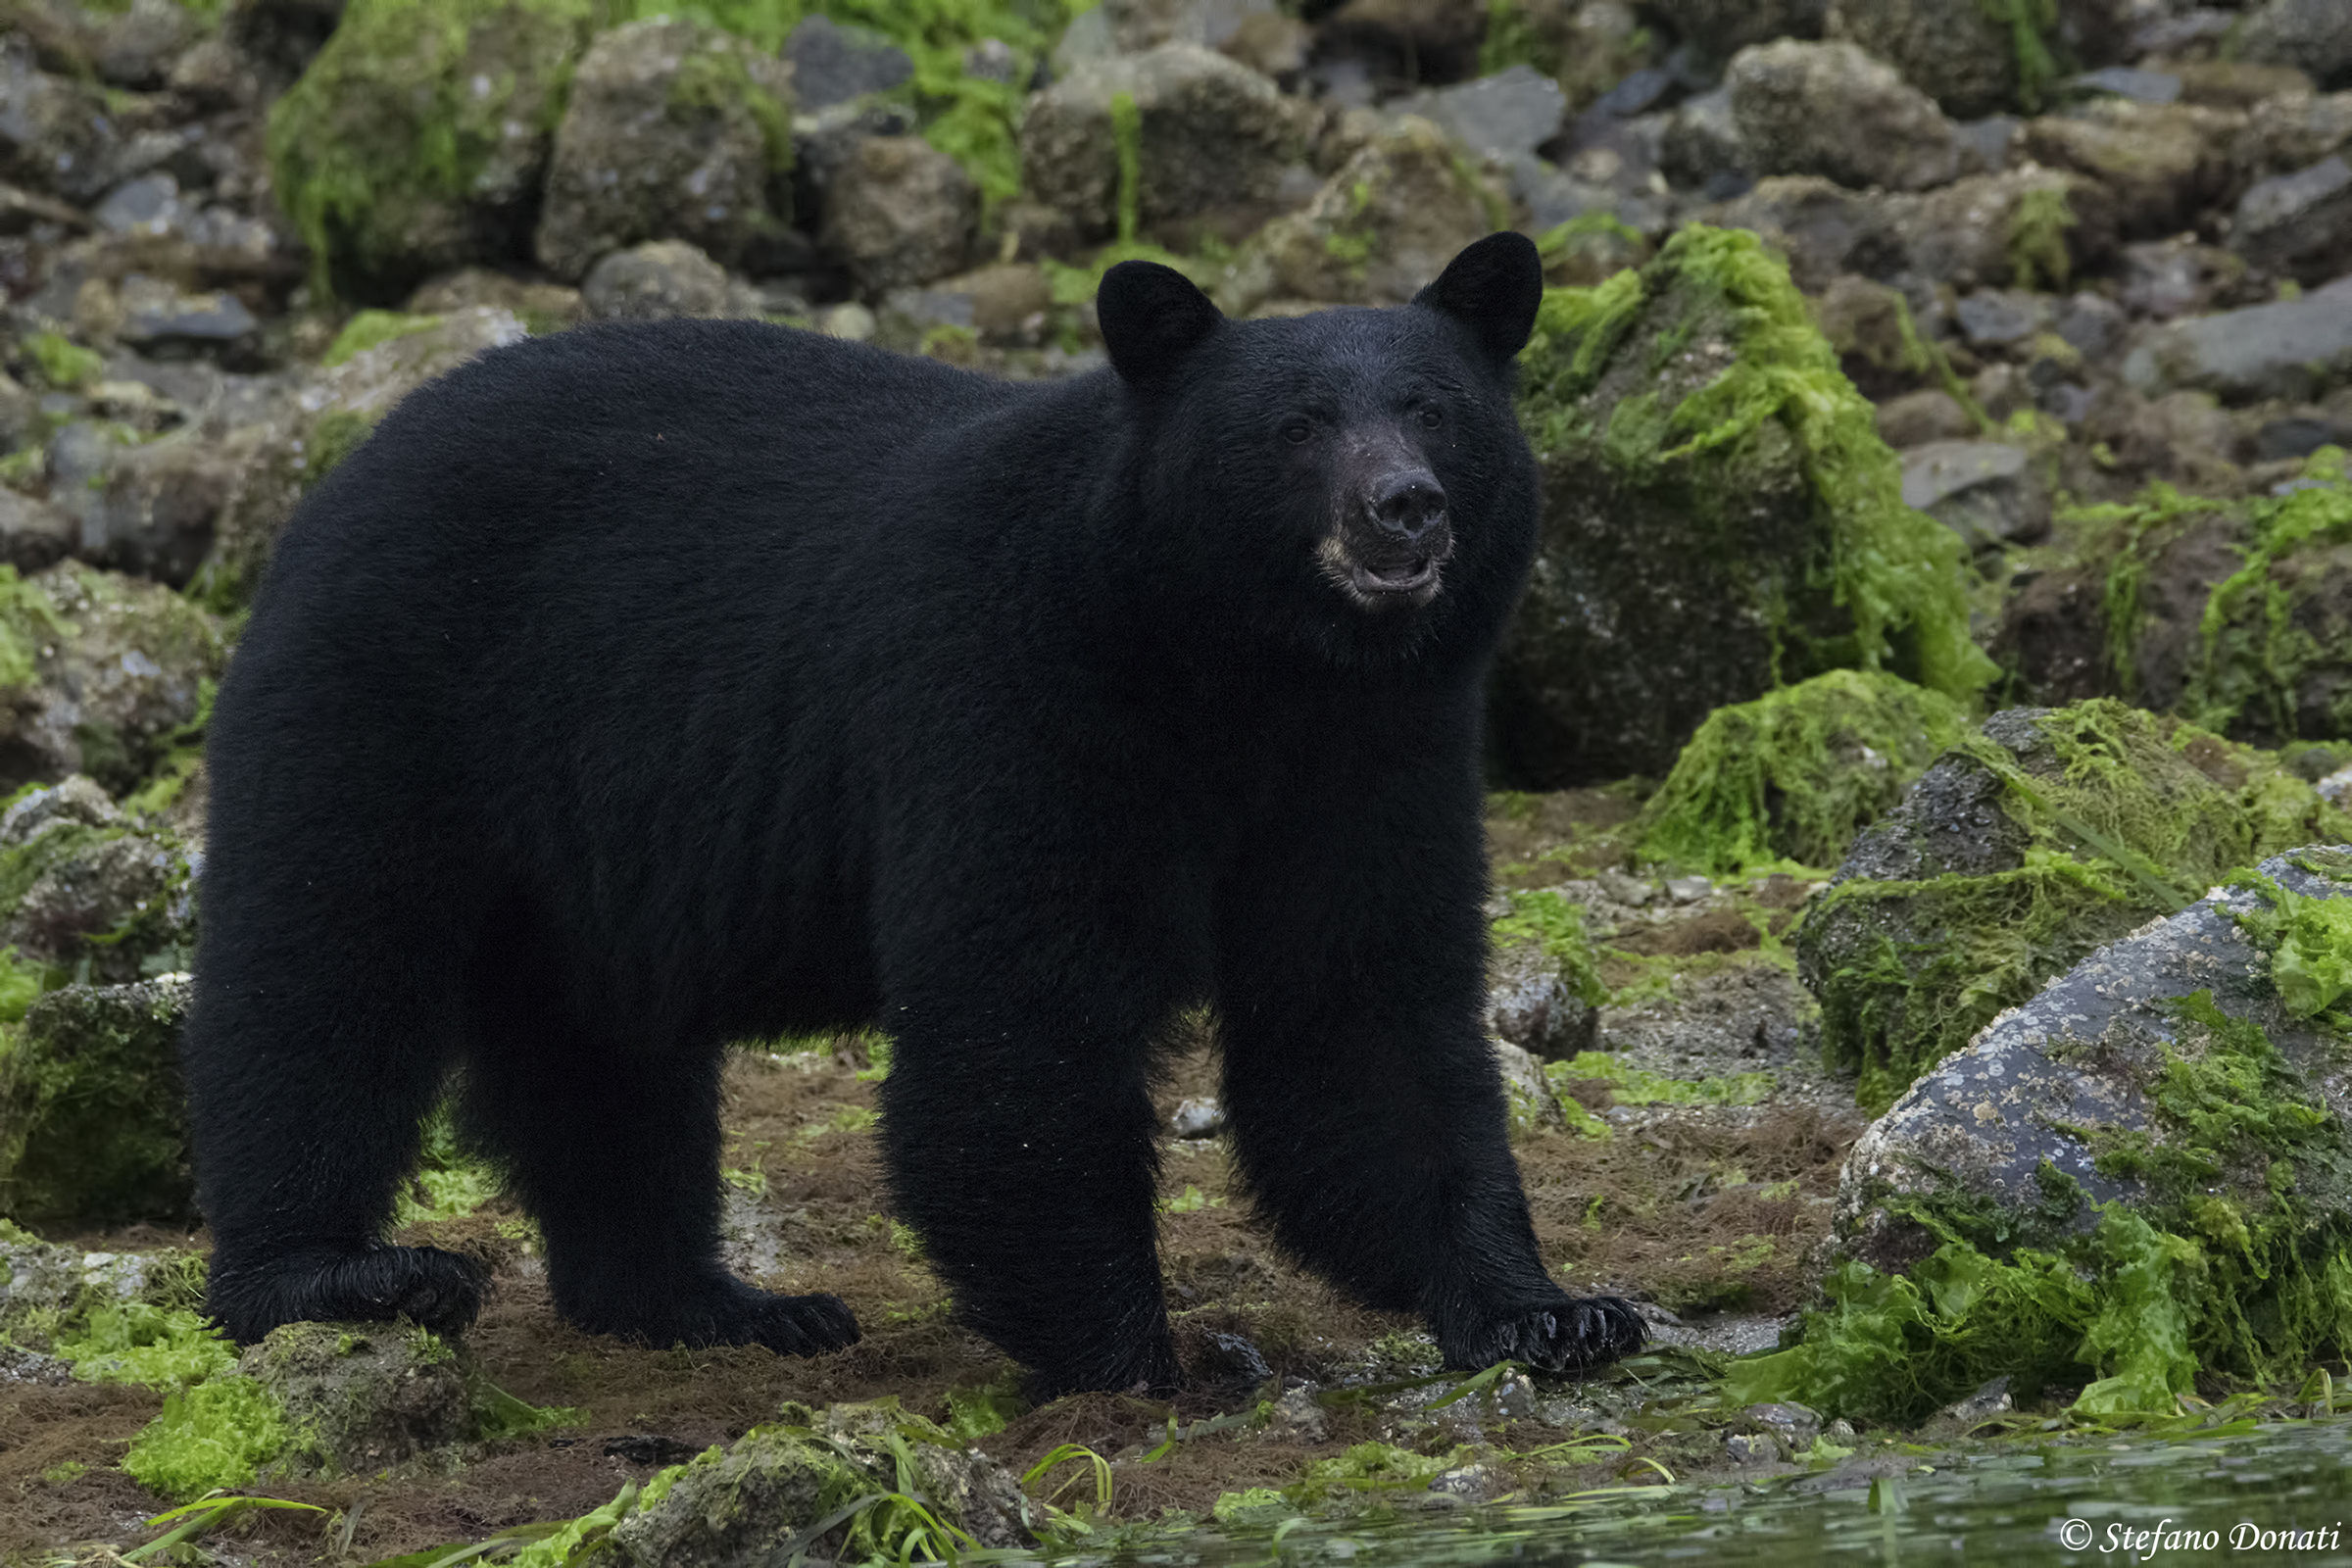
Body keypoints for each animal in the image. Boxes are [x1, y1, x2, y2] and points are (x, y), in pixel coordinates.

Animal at [182, 230, 1647, 1397]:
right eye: (1294, 426)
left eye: (1434, 408)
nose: (1404, 507)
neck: (1241, 671)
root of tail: (337, 473)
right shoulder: (1015, 695)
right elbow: (1016, 1025)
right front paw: (1149, 1359)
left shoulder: (1375, 755)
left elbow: (1362, 1019)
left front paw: (1551, 1311)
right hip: (393, 701)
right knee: (322, 977)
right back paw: (339, 1277)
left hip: (583, 851)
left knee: (605, 1059)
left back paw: (719, 1303)